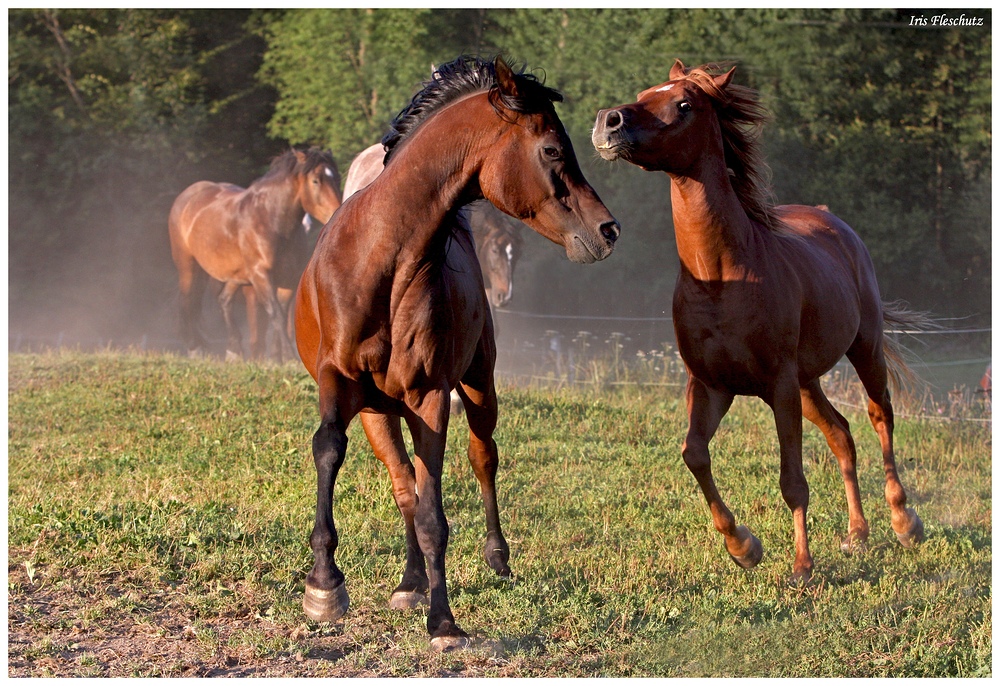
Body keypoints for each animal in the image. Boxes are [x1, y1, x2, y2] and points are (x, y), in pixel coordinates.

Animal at [166, 148, 342, 362]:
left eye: (338, 178)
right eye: (315, 180)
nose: (337, 212)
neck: (271, 222)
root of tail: (188, 196)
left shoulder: (288, 280)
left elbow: (282, 313)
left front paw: (276, 356)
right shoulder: (261, 276)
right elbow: (275, 313)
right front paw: (289, 356)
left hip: (234, 275)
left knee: (224, 301)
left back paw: (233, 350)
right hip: (188, 266)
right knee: (188, 302)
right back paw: (195, 348)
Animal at [292, 55, 616, 652]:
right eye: (553, 150)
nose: (609, 229)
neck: (382, 260)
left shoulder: (430, 398)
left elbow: (435, 516)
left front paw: (443, 622)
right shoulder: (336, 380)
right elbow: (329, 450)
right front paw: (324, 587)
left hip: (476, 388)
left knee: (481, 457)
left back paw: (494, 557)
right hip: (378, 412)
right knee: (403, 485)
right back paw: (409, 582)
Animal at [588, 60, 924, 584]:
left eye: (683, 104)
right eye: (644, 93)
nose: (608, 122)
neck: (723, 275)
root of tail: (835, 223)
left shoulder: (778, 386)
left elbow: (793, 480)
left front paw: (802, 566)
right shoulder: (711, 385)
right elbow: (694, 454)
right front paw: (744, 546)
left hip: (861, 349)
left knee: (879, 416)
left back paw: (904, 522)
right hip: (807, 382)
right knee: (842, 435)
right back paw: (856, 534)